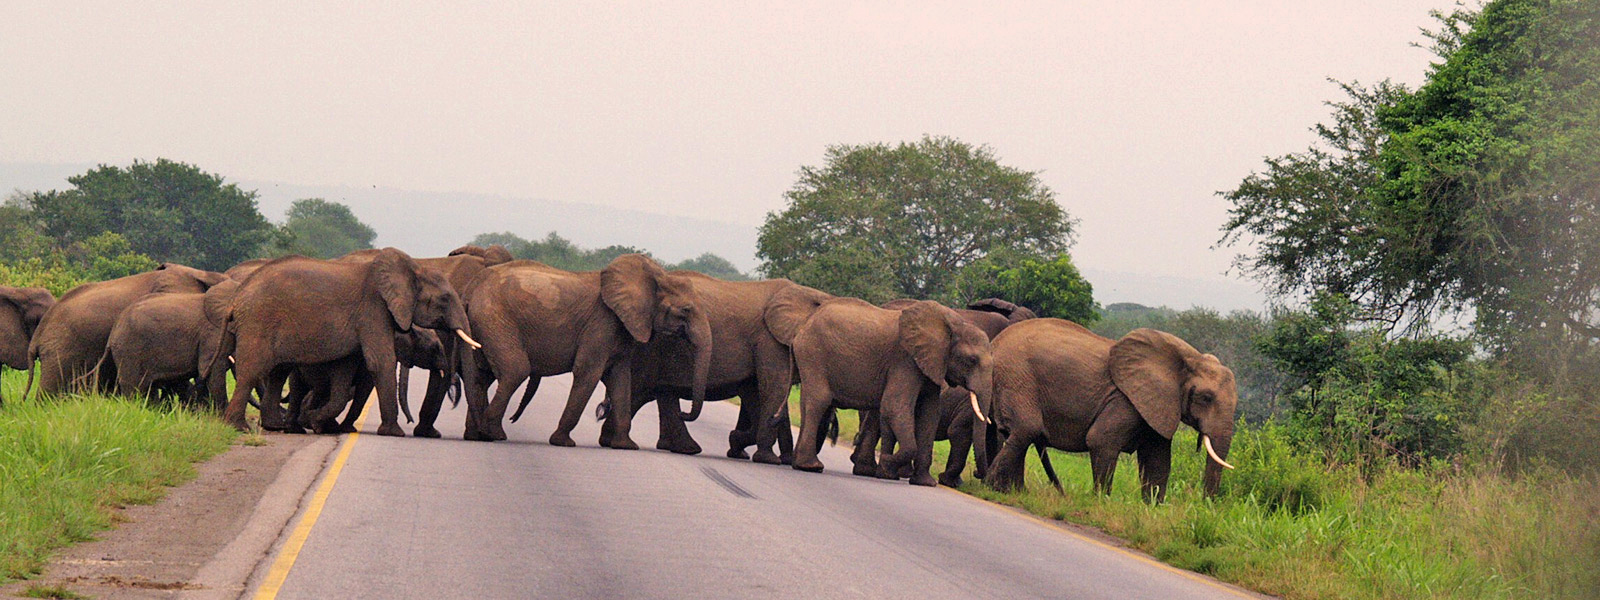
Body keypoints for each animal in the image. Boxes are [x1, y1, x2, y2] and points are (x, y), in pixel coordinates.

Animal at [216, 249, 476, 435]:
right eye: (445, 299)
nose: (410, 423)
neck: (414, 267)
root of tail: (236, 297)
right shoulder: (374, 308)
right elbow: (380, 362)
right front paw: (394, 433)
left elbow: (345, 368)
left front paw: (320, 422)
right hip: (258, 321)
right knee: (253, 370)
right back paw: (240, 428)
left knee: (279, 372)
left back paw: (276, 426)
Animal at [458, 254, 710, 446]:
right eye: (686, 310)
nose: (684, 413)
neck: (656, 276)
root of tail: (471, 290)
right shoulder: (602, 322)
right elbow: (588, 373)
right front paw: (562, 442)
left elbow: (621, 378)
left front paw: (626, 446)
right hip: (495, 319)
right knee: (515, 371)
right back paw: (493, 434)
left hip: (485, 324)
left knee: (481, 376)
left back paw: (476, 435)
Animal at [596, 277, 831, 462]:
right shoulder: (770, 339)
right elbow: (773, 388)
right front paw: (769, 459)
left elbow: (759, 394)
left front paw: (741, 445)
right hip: (652, 349)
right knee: (641, 390)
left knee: (658, 393)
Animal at [773, 298, 994, 486]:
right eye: (972, 360)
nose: (977, 474)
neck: (953, 324)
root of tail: (802, 328)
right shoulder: (905, 360)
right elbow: (895, 406)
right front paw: (888, 465)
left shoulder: (932, 364)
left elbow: (929, 415)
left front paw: (925, 482)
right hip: (813, 354)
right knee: (819, 401)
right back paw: (810, 467)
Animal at [984, 321, 1238, 502]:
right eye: (1206, 398)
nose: (1203, 505)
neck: (1190, 358)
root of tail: (995, 343)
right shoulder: (1126, 401)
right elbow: (1101, 440)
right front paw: (1100, 502)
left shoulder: (1156, 406)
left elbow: (1158, 460)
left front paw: (1152, 509)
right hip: (1017, 376)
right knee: (1026, 429)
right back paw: (991, 487)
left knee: (1018, 434)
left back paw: (1011, 492)